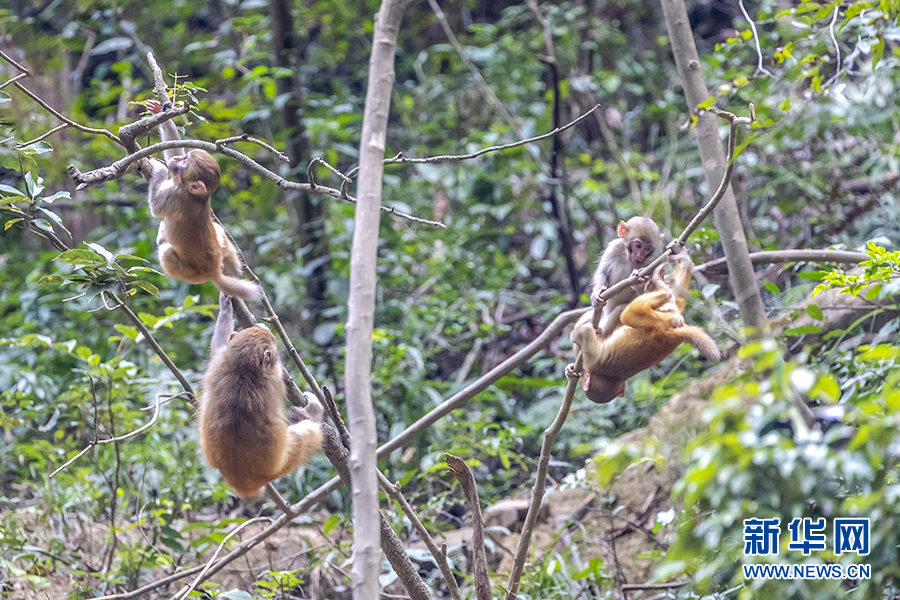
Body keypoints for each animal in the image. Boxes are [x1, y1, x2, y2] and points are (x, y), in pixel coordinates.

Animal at [144, 101, 262, 304]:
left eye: (184, 163)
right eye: (184, 157)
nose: (177, 160)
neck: (199, 196)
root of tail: (213, 271)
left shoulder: (175, 195)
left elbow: (156, 208)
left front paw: (159, 168)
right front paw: (163, 116)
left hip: (192, 275)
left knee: (166, 251)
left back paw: (162, 239)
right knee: (219, 230)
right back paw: (234, 270)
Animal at [200, 292, 324, 500]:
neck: (242, 370)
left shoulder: (220, 360)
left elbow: (217, 347)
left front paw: (226, 308)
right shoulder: (274, 379)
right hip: (279, 465)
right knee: (309, 433)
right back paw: (313, 415)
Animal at [568, 251, 724, 406]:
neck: (607, 377)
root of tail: (674, 333)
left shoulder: (592, 358)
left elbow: (583, 333)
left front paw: (576, 337)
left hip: (655, 320)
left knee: (624, 312)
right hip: (666, 316)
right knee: (672, 302)